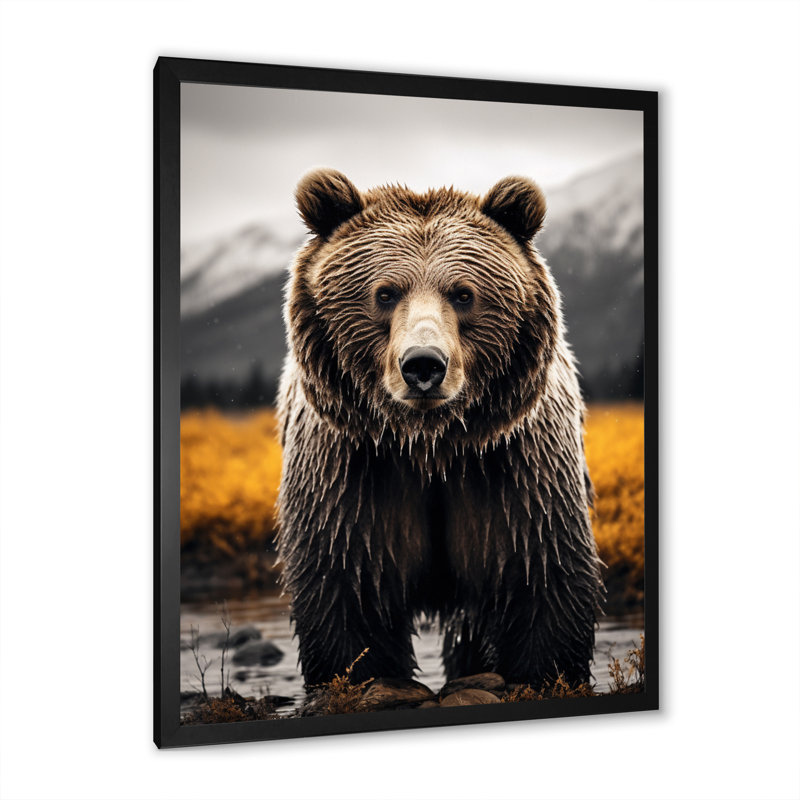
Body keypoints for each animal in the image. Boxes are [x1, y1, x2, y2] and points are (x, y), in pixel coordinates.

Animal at [276, 168, 604, 689]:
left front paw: (543, 671)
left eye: (463, 293)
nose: (423, 365)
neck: (431, 444)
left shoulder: (515, 469)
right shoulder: (351, 473)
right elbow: (345, 589)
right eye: (385, 292)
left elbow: (540, 575)